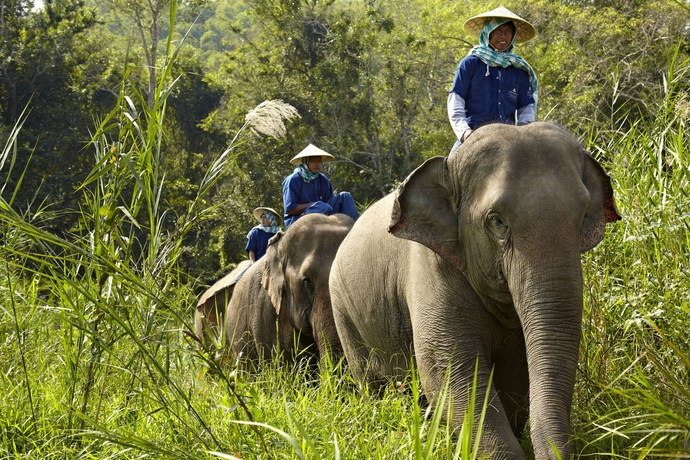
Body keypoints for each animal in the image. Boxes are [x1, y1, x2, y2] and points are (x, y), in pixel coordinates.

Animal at [329, 122, 621, 459]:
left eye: (585, 214)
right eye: (497, 221)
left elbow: (516, 376)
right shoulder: (432, 270)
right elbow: (452, 375)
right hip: (344, 313)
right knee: (369, 381)